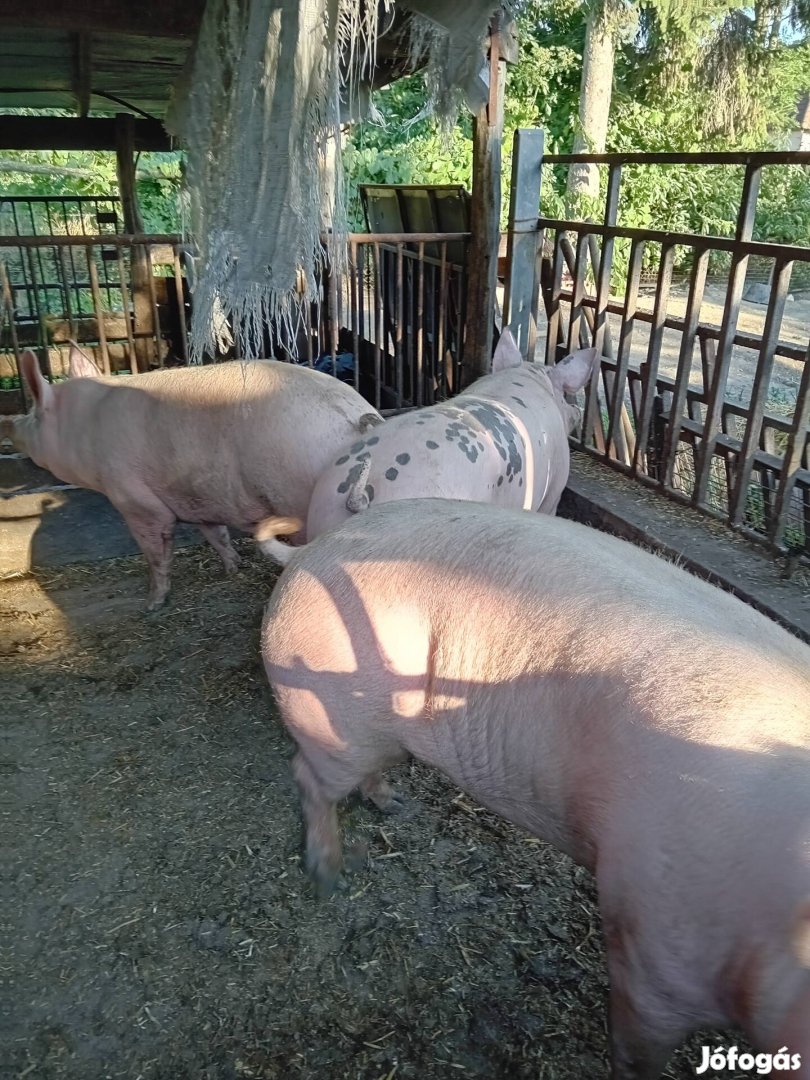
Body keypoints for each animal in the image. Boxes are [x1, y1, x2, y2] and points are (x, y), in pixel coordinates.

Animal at [1, 349, 382, 613]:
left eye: (33, 414)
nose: (10, 424)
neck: (83, 430)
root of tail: (356, 414)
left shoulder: (135, 500)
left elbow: (156, 552)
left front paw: (152, 605)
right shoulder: (200, 498)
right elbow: (215, 535)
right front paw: (233, 570)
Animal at [261, 326, 604, 565]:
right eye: (570, 397)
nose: (575, 412)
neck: (529, 378)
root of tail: (359, 498)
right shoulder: (553, 491)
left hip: (321, 507)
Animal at [264, 496, 810, 1080]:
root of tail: (308, 554)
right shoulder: (655, 942)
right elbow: (637, 1045)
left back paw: (396, 806)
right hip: (332, 721)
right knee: (307, 776)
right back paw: (327, 877)